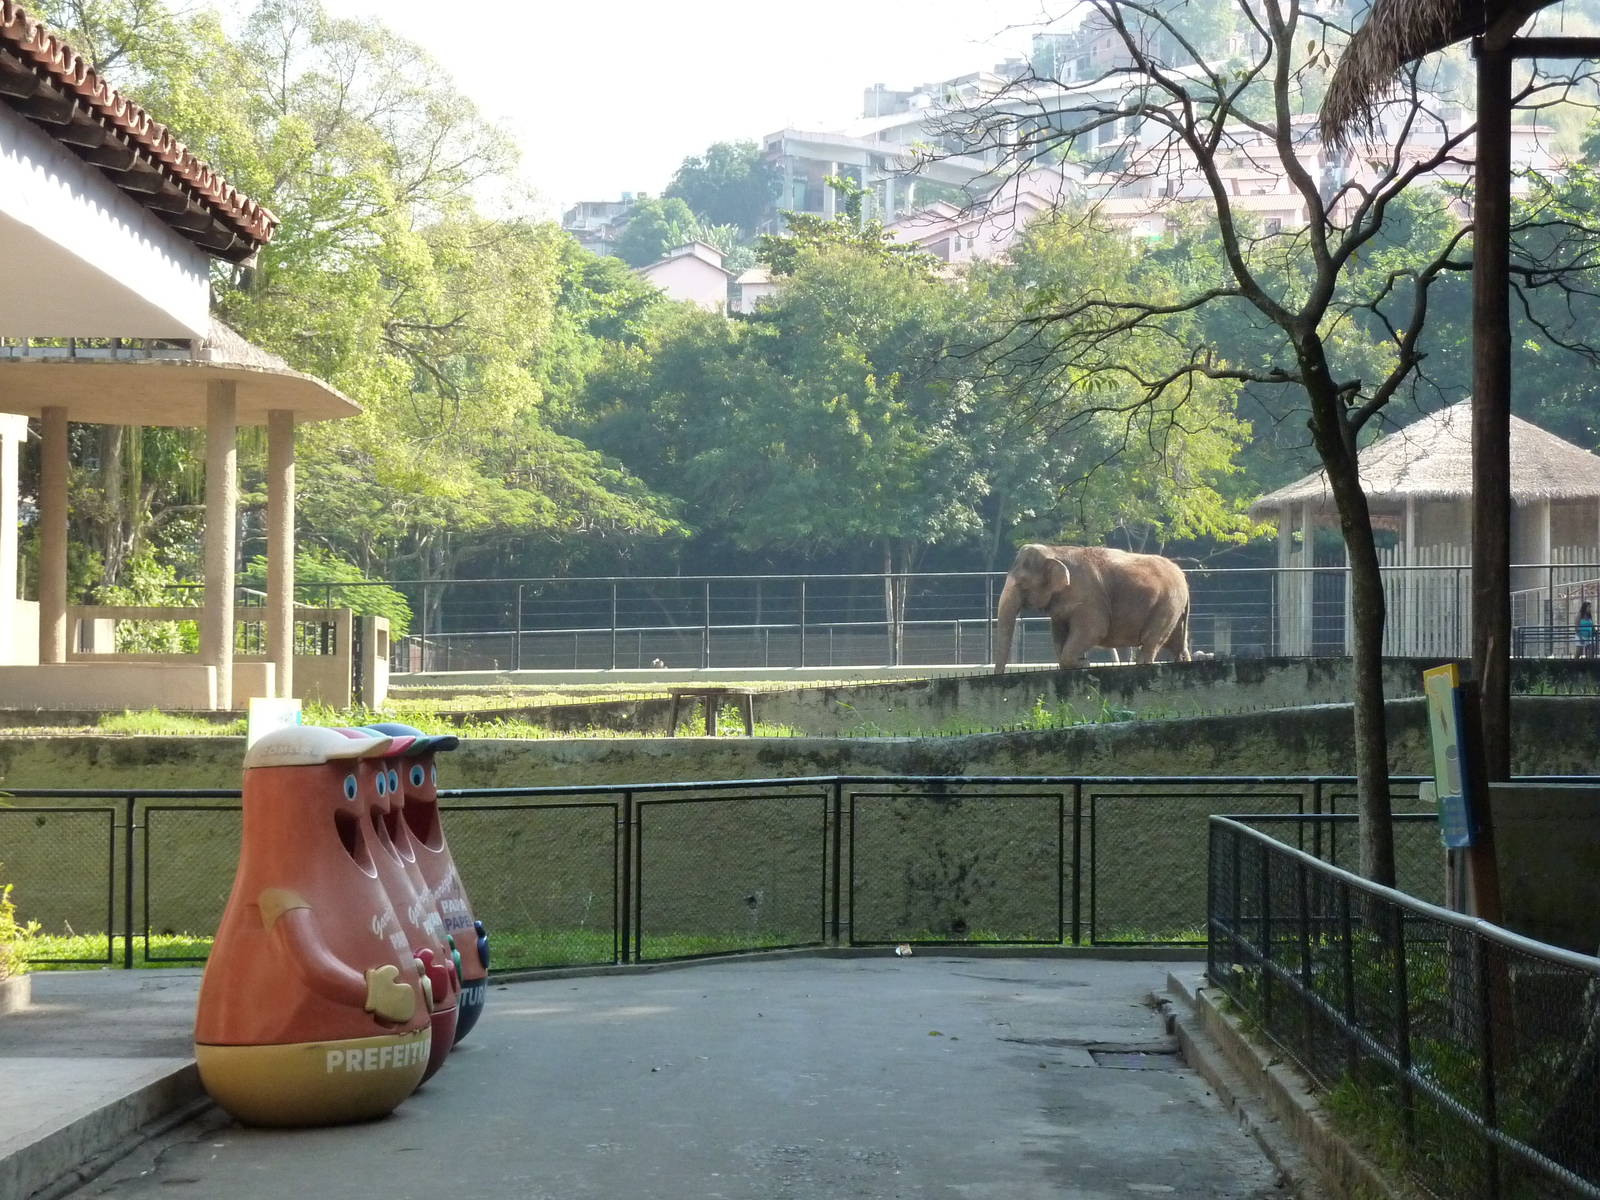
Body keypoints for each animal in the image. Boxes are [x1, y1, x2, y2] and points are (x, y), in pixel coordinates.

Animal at [993, 543, 1191, 672]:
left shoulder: (1088, 597)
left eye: (1023, 584)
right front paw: (1081, 663)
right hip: (1174, 608)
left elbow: (1094, 630)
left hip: (1167, 603)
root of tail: (1182, 576)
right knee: (1177, 643)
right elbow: (1058, 635)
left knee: (1151, 640)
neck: (1054, 550)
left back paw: (1144, 665)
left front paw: (1084, 664)